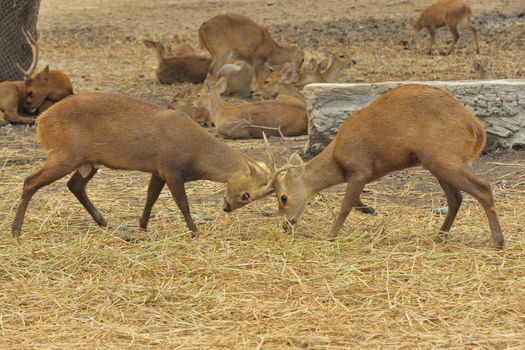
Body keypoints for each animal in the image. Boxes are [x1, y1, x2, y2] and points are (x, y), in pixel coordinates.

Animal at [11, 91, 274, 238]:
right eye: (247, 195)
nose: (227, 207)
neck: (196, 153)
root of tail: (40, 121)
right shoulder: (171, 168)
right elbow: (182, 203)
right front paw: (194, 230)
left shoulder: (157, 169)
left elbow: (150, 197)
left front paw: (142, 226)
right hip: (65, 155)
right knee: (29, 181)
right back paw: (16, 229)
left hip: (88, 162)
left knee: (74, 185)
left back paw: (104, 221)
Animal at [252, 85, 506, 249]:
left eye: (283, 197)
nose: (286, 225)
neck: (337, 158)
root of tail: (476, 129)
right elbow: (353, 203)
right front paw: (367, 212)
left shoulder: (360, 169)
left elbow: (345, 206)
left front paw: (330, 236)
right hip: (436, 162)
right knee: (456, 198)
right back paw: (440, 237)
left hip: (445, 158)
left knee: (483, 188)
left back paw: (498, 241)